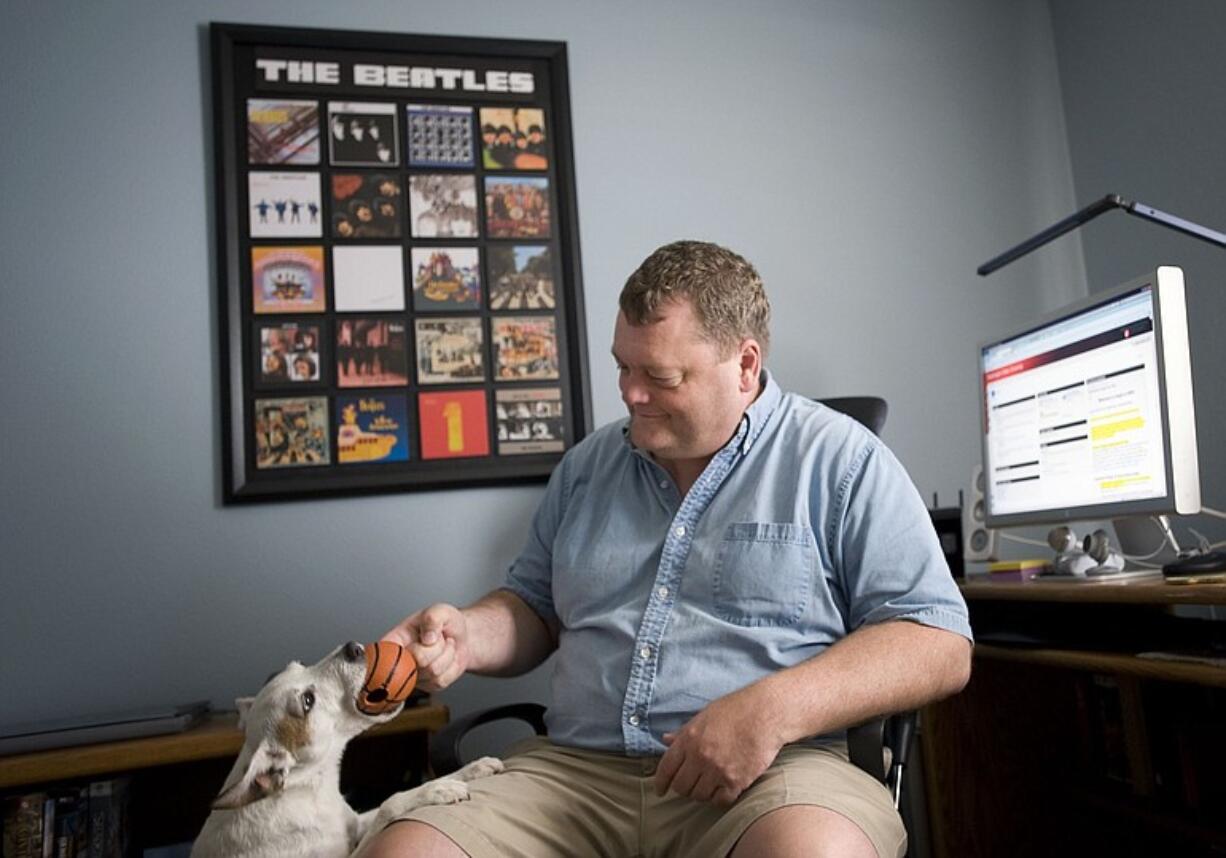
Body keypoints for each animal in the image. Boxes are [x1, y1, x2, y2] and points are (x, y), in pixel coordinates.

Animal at [191, 642, 497, 858]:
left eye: (301, 663)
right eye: (307, 701)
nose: (353, 648)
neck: (310, 788)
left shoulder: (354, 823)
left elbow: (387, 803)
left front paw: (468, 770)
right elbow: (391, 802)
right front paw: (435, 790)